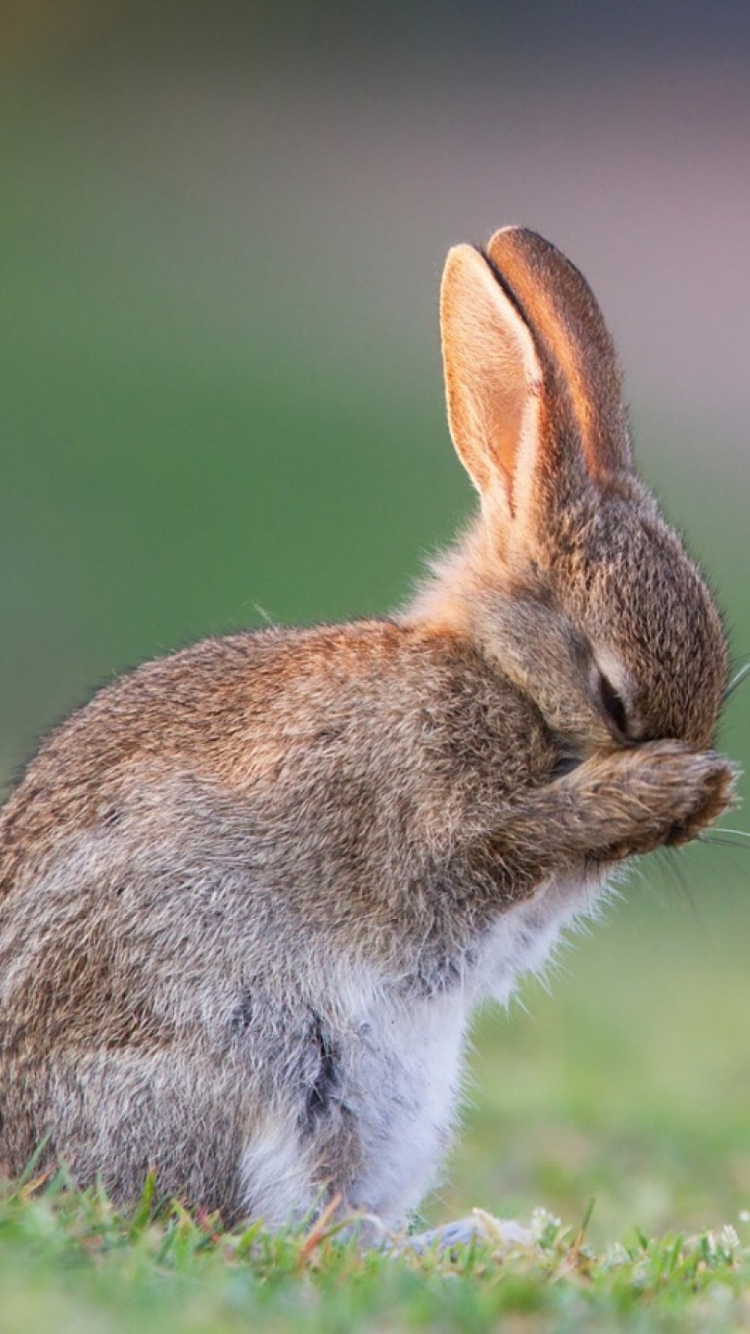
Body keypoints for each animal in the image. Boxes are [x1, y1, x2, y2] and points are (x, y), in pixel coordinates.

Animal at [0, 221, 731, 1237]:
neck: (500, 673)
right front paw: (658, 788)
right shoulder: (433, 815)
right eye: (614, 697)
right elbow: (495, 846)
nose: (694, 813)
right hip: (243, 1062)